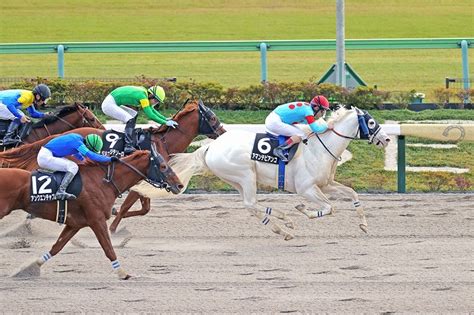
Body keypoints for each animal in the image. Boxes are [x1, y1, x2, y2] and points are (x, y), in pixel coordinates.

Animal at [0, 147, 183, 280]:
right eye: (163, 166)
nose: (180, 185)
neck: (103, 181)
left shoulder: (74, 224)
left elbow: (57, 247)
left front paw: (30, 268)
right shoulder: (97, 220)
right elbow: (108, 248)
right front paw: (122, 273)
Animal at [168, 107, 390, 241]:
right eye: (371, 122)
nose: (387, 139)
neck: (320, 148)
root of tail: (210, 147)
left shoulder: (325, 184)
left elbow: (352, 193)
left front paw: (363, 225)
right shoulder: (307, 188)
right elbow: (330, 207)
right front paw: (303, 209)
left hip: (237, 181)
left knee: (250, 206)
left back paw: (282, 228)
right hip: (245, 175)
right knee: (251, 204)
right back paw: (286, 222)